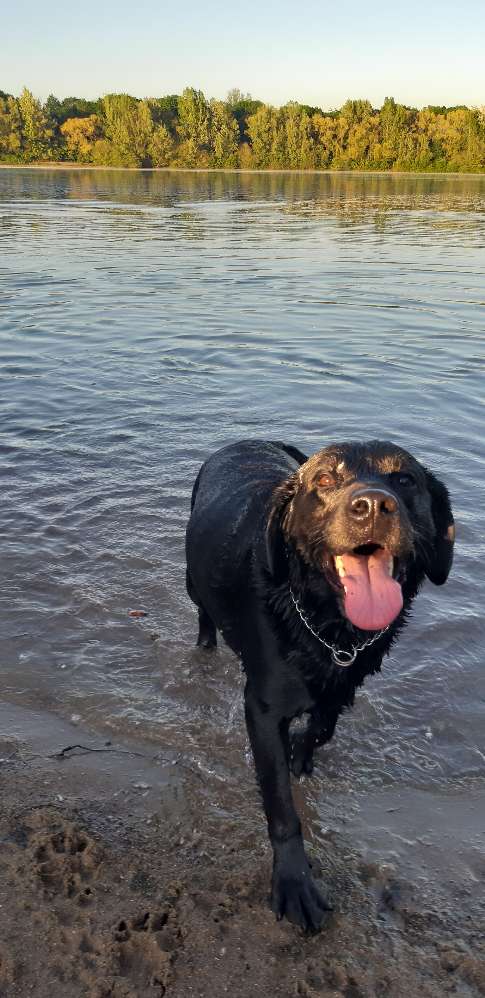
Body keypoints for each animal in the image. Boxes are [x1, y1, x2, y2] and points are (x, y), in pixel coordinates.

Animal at [185, 442, 454, 932]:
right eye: (325, 480)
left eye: (405, 479)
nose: (373, 506)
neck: (326, 626)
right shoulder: (262, 707)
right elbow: (281, 807)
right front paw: (294, 882)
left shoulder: (343, 686)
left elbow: (321, 728)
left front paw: (301, 754)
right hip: (194, 583)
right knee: (204, 615)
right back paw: (205, 645)